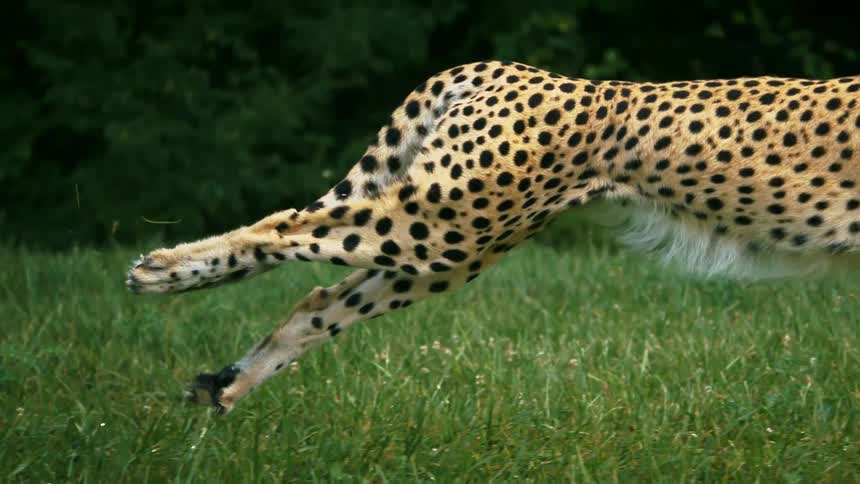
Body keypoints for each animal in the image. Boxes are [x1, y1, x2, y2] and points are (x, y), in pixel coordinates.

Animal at [126, 60, 860, 414]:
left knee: (317, 302)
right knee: (284, 226)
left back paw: (224, 386)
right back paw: (160, 272)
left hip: (456, 244)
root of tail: (512, 70)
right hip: (441, 222)